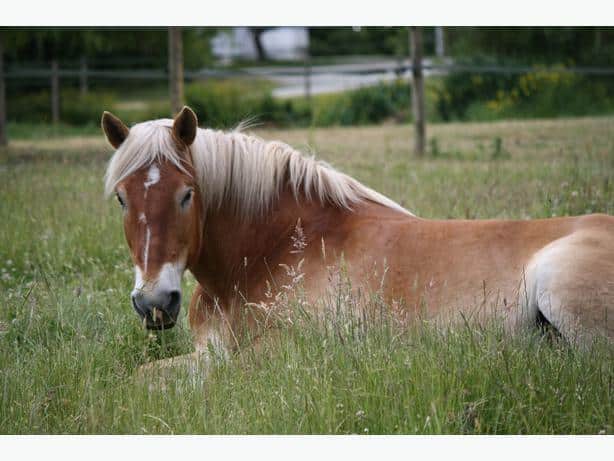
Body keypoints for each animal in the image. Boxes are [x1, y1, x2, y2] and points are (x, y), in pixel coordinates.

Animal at [102, 107, 614, 370]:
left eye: (187, 194)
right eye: (122, 199)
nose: (154, 303)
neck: (279, 248)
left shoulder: (276, 354)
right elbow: (144, 375)